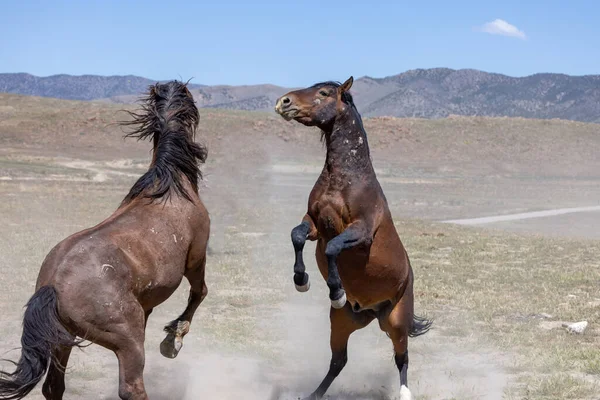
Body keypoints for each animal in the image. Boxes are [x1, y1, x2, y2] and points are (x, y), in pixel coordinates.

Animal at [0, 81, 211, 400]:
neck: (170, 186)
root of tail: (53, 287)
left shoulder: (147, 304)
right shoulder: (196, 259)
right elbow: (199, 294)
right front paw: (173, 341)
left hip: (62, 339)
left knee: (53, 387)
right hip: (127, 343)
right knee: (131, 389)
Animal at [276, 76, 432, 398]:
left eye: (324, 92)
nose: (284, 102)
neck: (344, 181)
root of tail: (370, 312)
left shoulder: (361, 233)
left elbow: (334, 248)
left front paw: (336, 291)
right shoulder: (313, 224)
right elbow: (296, 236)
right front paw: (301, 280)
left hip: (396, 323)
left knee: (402, 358)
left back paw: (404, 392)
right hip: (342, 322)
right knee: (338, 361)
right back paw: (313, 394)